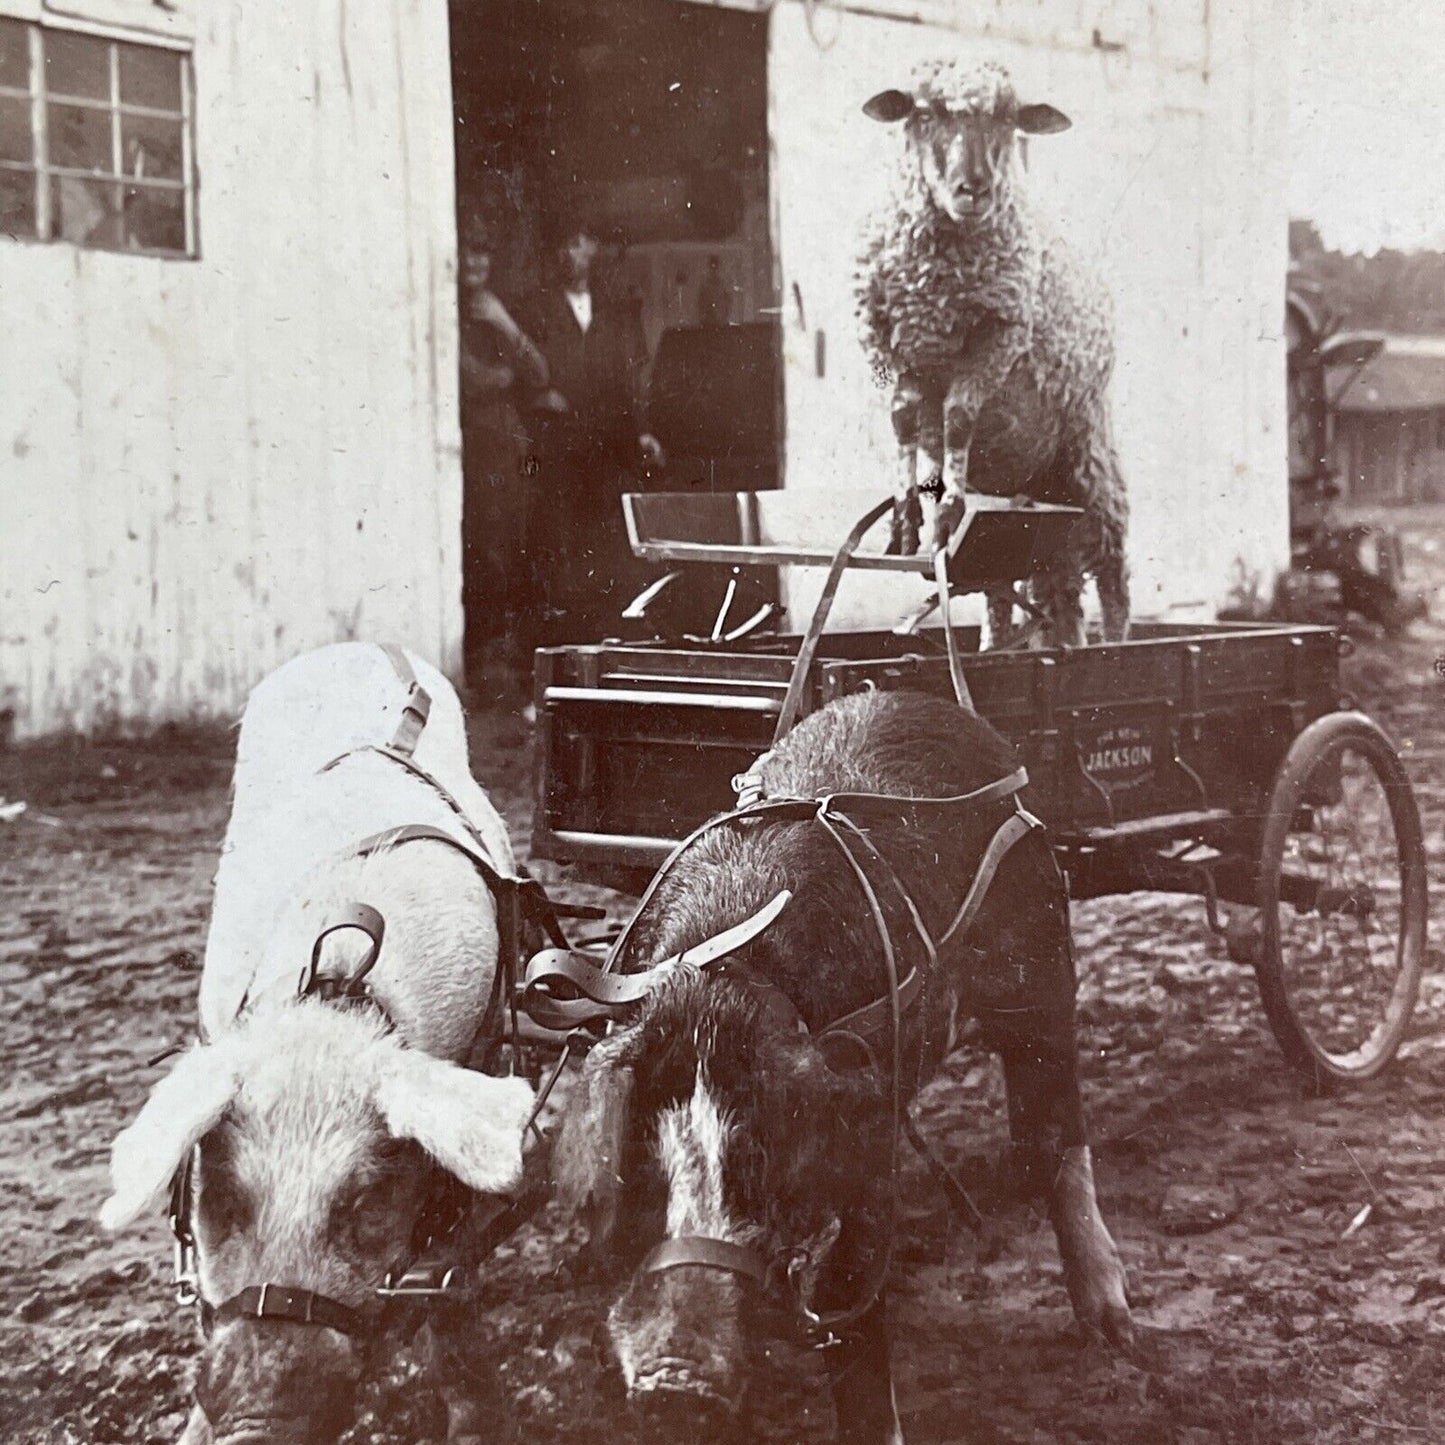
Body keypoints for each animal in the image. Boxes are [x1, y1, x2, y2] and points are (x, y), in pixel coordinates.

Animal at [551, 690, 1127, 1445]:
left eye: (762, 1169)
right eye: (640, 1170)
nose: (677, 1381)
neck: (723, 987)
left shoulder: (869, 1134)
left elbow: (851, 1293)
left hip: (1043, 962)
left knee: (1059, 1134)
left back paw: (1113, 1332)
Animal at [855, 59, 1127, 641]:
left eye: (1007, 119)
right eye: (924, 114)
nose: (974, 188)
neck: (936, 277)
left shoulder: (997, 339)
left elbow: (958, 417)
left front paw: (947, 511)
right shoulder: (894, 343)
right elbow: (903, 419)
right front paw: (906, 522)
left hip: (1089, 451)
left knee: (1112, 565)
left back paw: (1114, 644)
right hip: (1026, 494)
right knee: (1032, 584)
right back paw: (1012, 644)